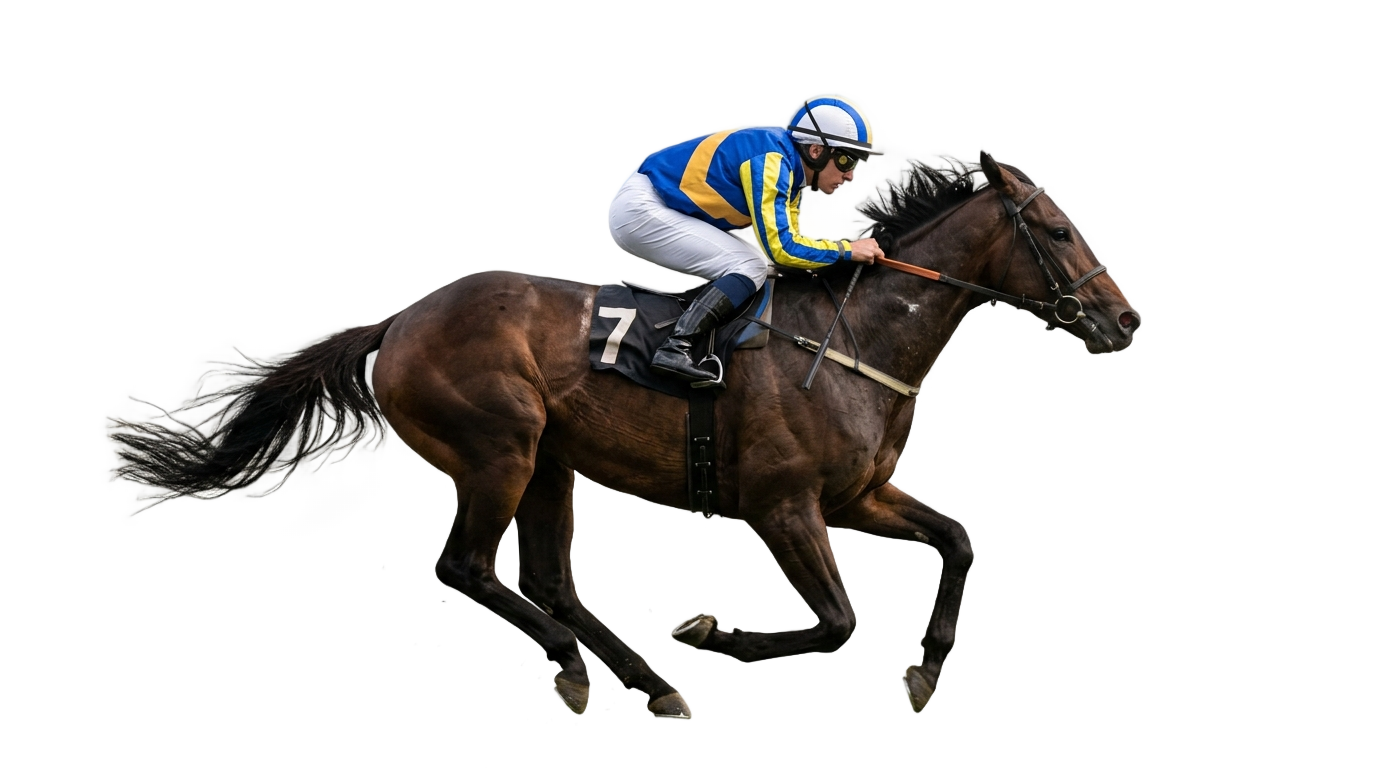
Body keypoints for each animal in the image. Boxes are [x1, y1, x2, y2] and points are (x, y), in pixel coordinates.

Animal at [114, 152, 1140, 718]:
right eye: (1058, 231)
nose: (1125, 320)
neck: (855, 339)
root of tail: (399, 319)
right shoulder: (780, 506)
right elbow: (838, 619)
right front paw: (713, 631)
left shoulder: (860, 496)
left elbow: (959, 542)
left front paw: (928, 671)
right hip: (499, 450)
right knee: (465, 569)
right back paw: (583, 673)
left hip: (549, 466)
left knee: (547, 581)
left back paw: (649, 687)